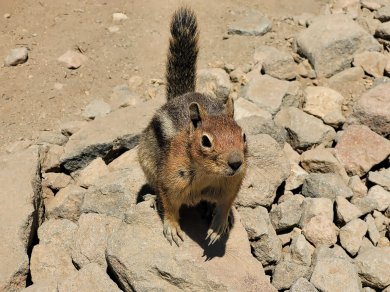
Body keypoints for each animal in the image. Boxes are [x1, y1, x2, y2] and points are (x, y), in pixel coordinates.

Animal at [137, 6, 247, 245]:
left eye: (243, 136)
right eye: (205, 141)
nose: (236, 163)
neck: (208, 175)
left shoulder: (233, 184)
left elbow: (226, 204)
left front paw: (219, 225)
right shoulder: (169, 180)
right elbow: (169, 205)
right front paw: (172, 227)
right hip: (147, 163)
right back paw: (151, 198)